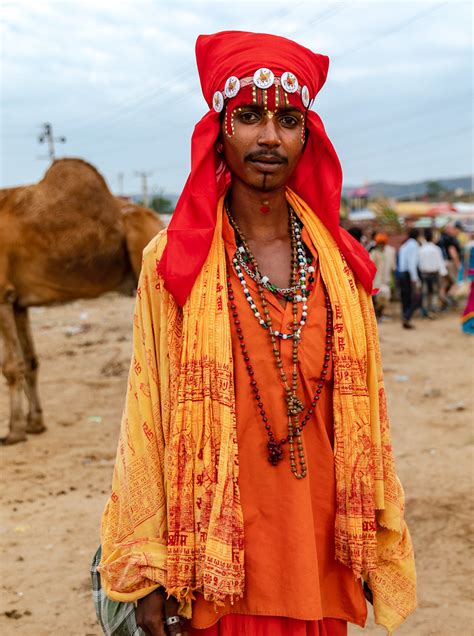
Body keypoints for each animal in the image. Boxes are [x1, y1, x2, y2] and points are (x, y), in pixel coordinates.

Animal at [0, 157, 163, 444]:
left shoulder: (1, 295)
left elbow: (11, 365)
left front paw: (15, 431)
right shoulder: (18, 302)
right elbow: (30, 360)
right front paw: (35, 424)